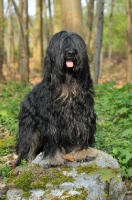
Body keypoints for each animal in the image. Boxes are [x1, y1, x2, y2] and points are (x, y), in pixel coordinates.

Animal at [15, 30, 96, 167]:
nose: (70, 52)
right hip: (30, 128)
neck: (68, 85)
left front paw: (81, 153)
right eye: (62, 44)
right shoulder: (51, 121)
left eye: (75, 44)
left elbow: (82, 133)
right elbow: (53, 140)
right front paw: (54, 160)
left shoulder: (83, 115)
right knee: (29, 146)